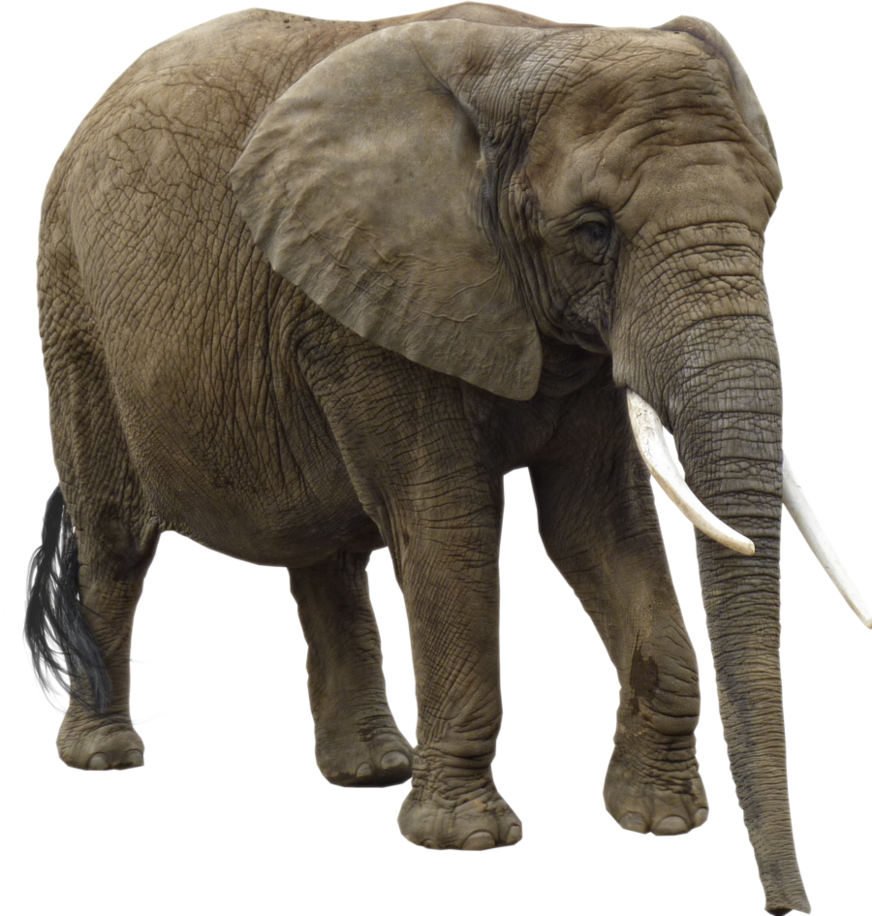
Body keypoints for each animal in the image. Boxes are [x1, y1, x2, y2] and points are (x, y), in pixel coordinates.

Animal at [33, 4, 868, 913]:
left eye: (768, 216)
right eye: (594, 232)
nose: (786, 907)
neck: (535, 48)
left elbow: (596, 528)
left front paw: (661, 821)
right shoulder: (379, 300)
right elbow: (449, 526)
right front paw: (466, 841)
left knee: (328, 556)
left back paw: (372, 771)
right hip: (74, 304)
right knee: (117, 538)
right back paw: (104, 756)